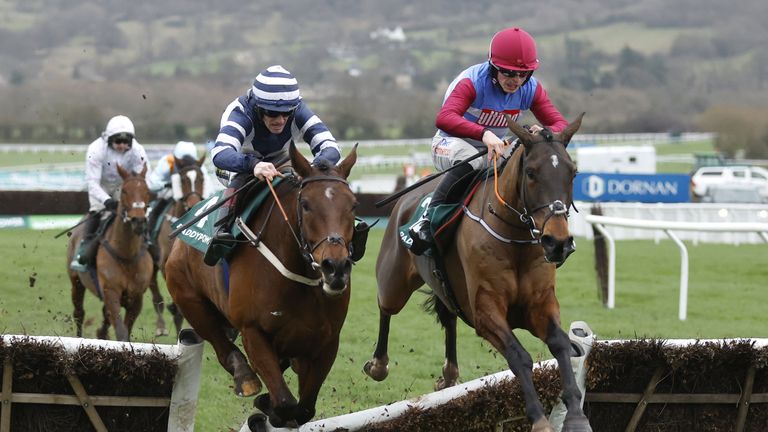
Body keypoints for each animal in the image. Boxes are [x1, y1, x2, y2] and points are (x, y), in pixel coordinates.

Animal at [67, 164, 154, 342]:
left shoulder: (136, 298)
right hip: (76, 282)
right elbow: (121, 332)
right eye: (124, 191)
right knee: (79, 313)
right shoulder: (111, 293)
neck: (127, 255)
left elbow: (125, 328)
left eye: (147, 191)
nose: (138, 221)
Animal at [147, 154, 206, 336]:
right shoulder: (164, 265)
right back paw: (160, 326)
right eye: (183, 179)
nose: (194, 205)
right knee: (155, 295)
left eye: (201, 178)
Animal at [164, 143, 360, 428]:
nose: (335, 268)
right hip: (190, 300)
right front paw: (269, 406)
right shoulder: (253, 332)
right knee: (221, 346)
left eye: (353, 205)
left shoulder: (325, 342)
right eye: (305, 204)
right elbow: (286, 403)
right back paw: (245, 378)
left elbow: (305, 408)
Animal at [364, 115, 592, 432]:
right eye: (531, 173)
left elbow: (561, 344)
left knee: (448, 317)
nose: (557, 242)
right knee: (386, 309)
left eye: (573, 172)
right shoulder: (485, 311)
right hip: (393, 281)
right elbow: (519, 356)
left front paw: (576, 415)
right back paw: (378, 365)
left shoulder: (539, 304)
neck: (515, 238)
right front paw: (539, 418)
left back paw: (449, 374)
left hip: (445, 288)